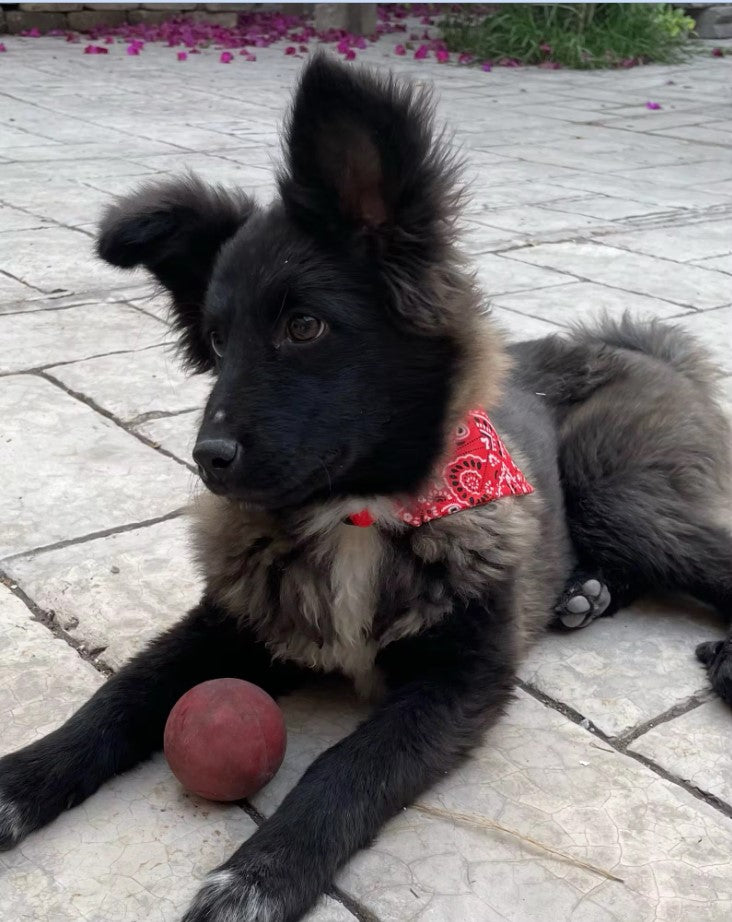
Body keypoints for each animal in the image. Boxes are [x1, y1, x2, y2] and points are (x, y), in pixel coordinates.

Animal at [1, 57, 732, 920]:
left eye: (303, 327)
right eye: (216, 339)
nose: (207, 460)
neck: (357, 516)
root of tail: (646, 346)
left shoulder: (460, 680)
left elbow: (343, 767)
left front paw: (259, 876)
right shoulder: (225, 624)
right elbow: (118, 698)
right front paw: (17, 781)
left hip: (609, 486)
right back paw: (586, 593)